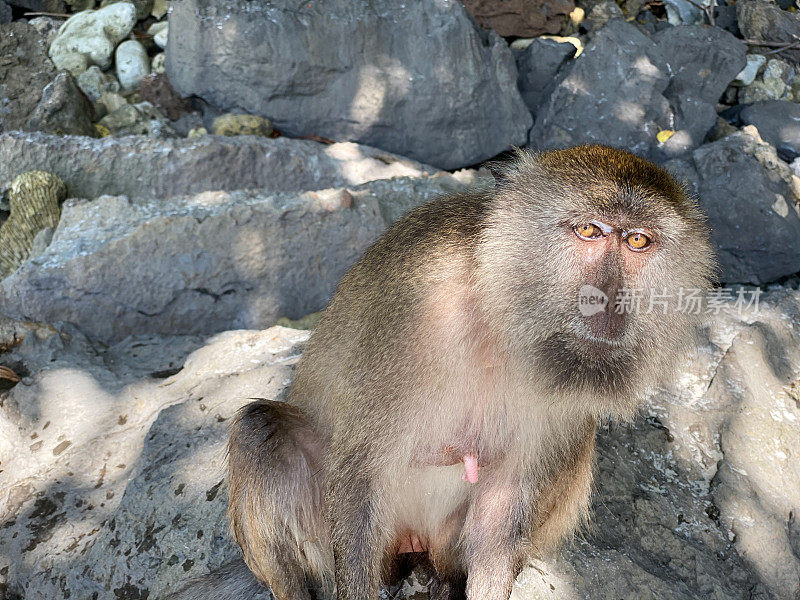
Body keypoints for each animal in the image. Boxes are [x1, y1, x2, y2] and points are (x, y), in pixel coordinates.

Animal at [167, 145, 712, 600]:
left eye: (638, 241)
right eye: (588, 232)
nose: (606, 301)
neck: (502, 318)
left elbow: (502, 507)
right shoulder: (417, 308)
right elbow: (362, 469)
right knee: (261, 430)